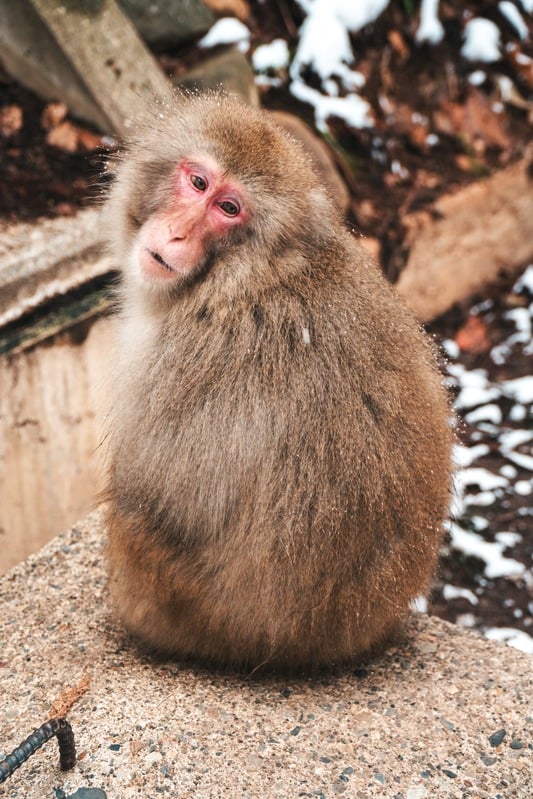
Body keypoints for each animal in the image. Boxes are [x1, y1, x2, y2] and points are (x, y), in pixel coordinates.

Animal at [104, 92, 453, 674]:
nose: (176, 234)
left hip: (187, 610)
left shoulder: (187, 357)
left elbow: (165, 502)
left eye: (229, 209)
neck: (252, 275)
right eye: (197, 182)